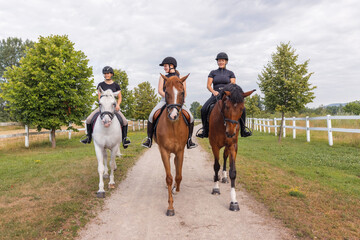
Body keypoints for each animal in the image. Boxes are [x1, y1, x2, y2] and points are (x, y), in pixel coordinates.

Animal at [154, 72, 190, 216]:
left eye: (182, 92)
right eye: (166, 92)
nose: (173, 115)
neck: (173, 126)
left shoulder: (180, 151)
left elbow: (179, 175)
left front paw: (177, 189)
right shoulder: (164, 150)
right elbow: (169, 177)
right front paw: (170, 207)